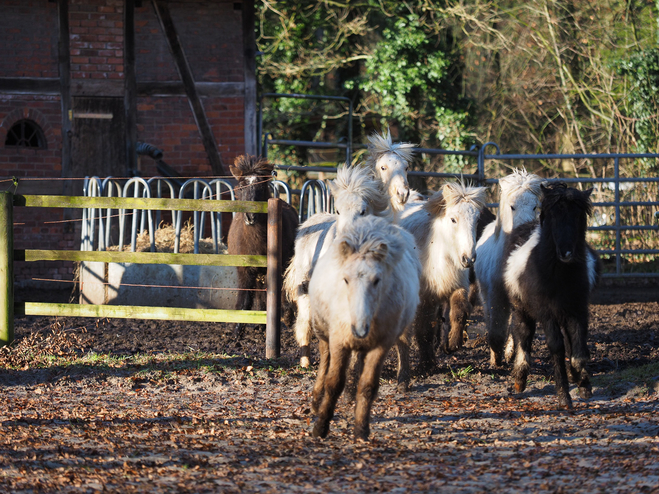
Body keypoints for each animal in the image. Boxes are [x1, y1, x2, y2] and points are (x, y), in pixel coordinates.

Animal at [227, 156, 300, 338]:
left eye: (261, 187)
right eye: (241, 186)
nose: (250, 217)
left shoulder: (276, 266)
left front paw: (286, 317)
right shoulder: (244, 269)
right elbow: (245, 298)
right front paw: (237, 329)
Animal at [310, 216, 422, 440]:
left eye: (377, 280)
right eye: (345, 279)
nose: (360, 330)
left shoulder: (381, 345)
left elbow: (368, 386)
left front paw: (361, 429)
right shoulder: (339, 341)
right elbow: (333, 383)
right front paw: (321, 427)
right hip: (324, 331)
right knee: (324, 360)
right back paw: (317, 400)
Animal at [394, 181, 488, 374]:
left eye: (476, 220)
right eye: (453, 219)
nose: (468, 259)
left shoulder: (457, 286)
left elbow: (459, 313)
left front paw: (452, 344)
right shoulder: (425, 296)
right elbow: (424, 329)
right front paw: (426, 364)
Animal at [476, 170, 544, 366]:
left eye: (535, 207)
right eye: (512, 207)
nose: (526, 230)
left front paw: (509, 355)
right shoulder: (496, 296)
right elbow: (497, 330)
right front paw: (495, 360)